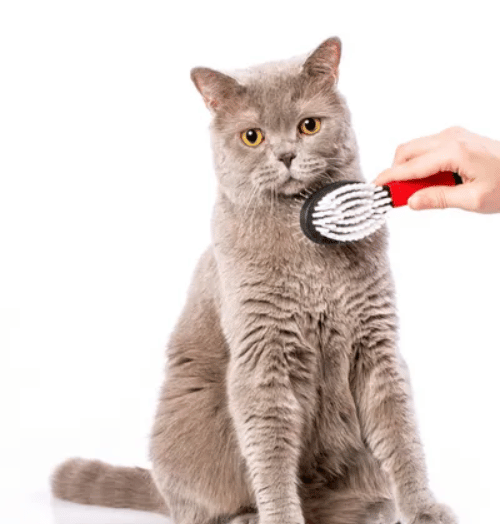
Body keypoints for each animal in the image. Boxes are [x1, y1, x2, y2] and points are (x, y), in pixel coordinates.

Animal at [50, 37, 458, 524]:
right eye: (252, 136)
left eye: (308, 125)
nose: (286, 155)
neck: (304, 238)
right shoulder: (263, 356)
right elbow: (271, 452)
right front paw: (280, 518)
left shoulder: (375, 346)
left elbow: (400, 435)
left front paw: (423, 510)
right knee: (197, 509)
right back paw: (246, 516)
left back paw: (374, 510)